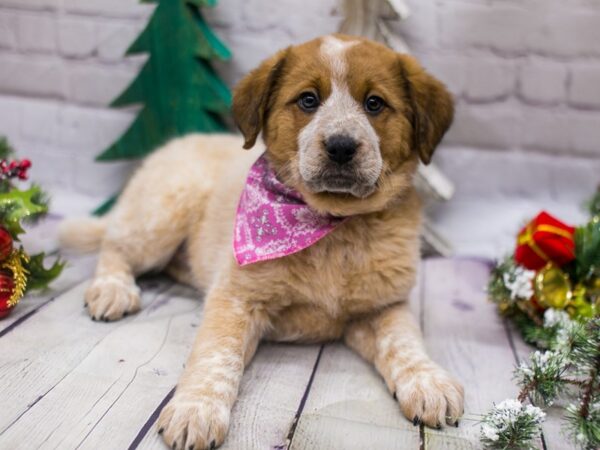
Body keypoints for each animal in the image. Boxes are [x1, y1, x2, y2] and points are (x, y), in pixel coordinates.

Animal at [61, 33, 464, 448]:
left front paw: (428, 381)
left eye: (374, 103)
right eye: (308, 100)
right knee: (114, 245)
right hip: (163, 212)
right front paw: (196, 408)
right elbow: (217, 354)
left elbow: (405, 341)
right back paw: (113, 290)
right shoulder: (236, 296)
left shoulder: (384, 305)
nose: (340, 146)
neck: (332, 226)